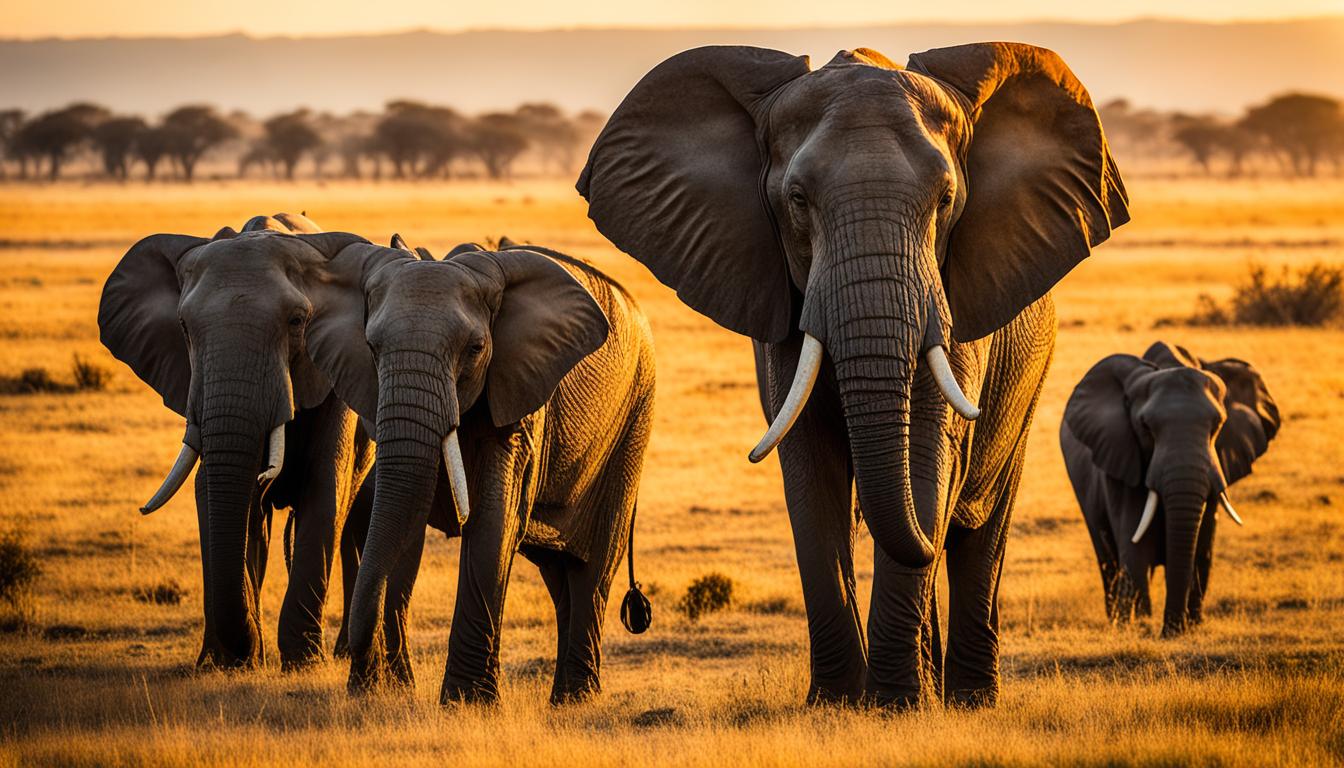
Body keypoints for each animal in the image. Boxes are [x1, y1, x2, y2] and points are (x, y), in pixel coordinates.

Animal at [98, 213, 379, 669]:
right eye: (183, 327)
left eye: (297, 322)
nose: (247, 651)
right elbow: (215, 492)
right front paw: (226, 662)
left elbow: (325, 490)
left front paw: (301, 662)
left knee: (354, 516)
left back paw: (337, 652)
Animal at [305, 238, 661, 704]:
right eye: (372, 348)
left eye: (474, 350)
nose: (362, 679)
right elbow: (404, 522)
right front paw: (391, 691)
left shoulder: (519, 398)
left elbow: (493, 522)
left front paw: (465, 703)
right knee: (558, 573)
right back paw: (563, 701)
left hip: (634, 420)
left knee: (593, 567)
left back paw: (576, 699)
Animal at [577, 43, 1123, 710]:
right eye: (797, 200)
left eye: (946, 201)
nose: (639, 612)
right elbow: (810, 464)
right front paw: (840, 703)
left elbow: (929, 451)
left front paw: (894, 704)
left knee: (982, 529)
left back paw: (966, 697)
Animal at [1059, 342, 1279, 637]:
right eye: (1146, 427)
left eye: (1218, 425)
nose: (1170, 631)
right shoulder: (1122, 456)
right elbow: (1135, 547)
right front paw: (1138, 625)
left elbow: (1201, 549)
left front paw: (1192, 625)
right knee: (1107, 555)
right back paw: (1119, 618)